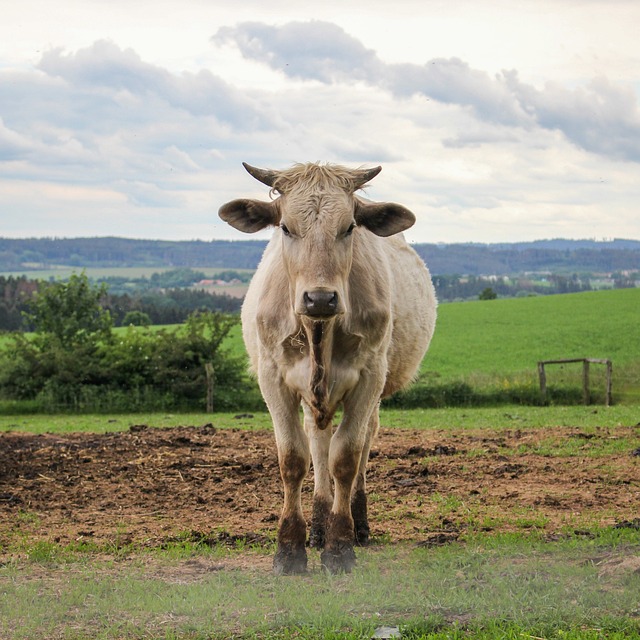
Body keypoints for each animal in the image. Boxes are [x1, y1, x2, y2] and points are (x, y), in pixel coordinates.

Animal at [219, 161, 436, 576]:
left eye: (349, 227)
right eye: (286, 227)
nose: (319, 298)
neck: (319, 331)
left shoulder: (369, 378)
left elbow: (346, 457)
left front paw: (340, 546)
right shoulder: (273, 379)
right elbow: (293, 459)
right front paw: (290, 548)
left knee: (362, 440)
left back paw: (356, 523)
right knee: (317, 442)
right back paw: (318, 525)